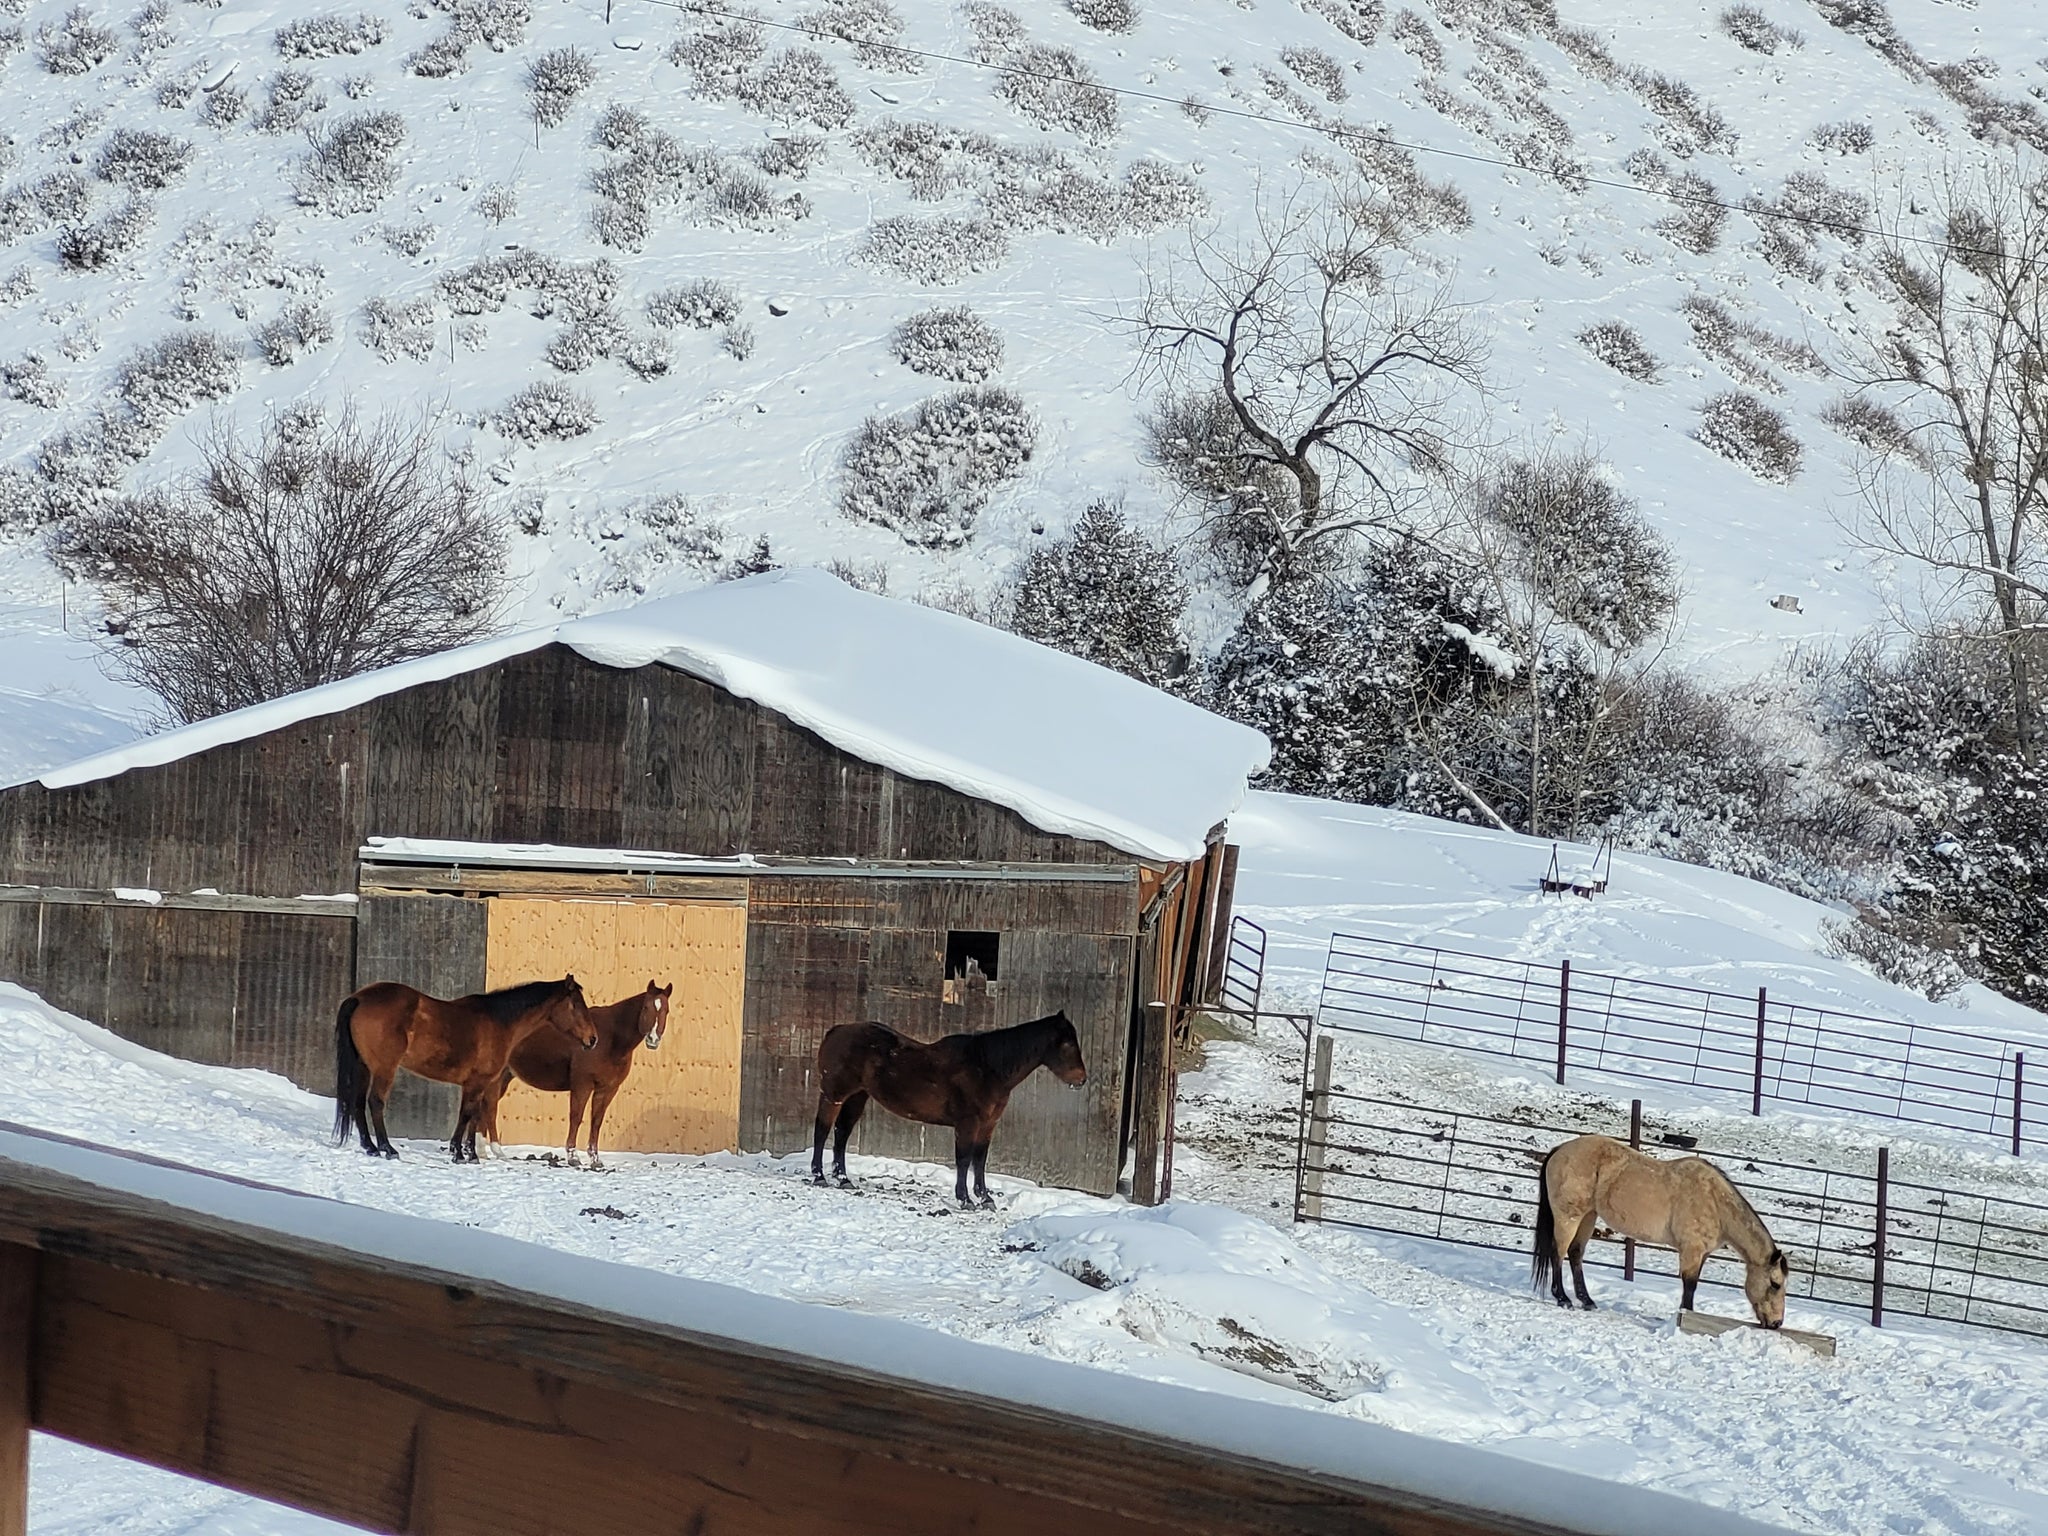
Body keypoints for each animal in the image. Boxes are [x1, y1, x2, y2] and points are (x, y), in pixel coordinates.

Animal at [332, 975, 596, 1163]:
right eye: (575, 1005)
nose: (593, 1039)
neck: (500, 1022)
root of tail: (360, 997)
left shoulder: (480, 1085)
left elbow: (475, 1115)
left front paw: (471, 1154)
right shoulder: (476, 1083)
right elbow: (467, 1115)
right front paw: (459, 1153)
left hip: (364, 1066)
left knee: (357, 1103)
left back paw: (370, 1147)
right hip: (384, 1069)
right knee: (375, 1102)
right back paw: (388, 1149)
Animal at [477, 981, 672, 1168]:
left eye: (666, 1010)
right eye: (646, 1007)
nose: (653, 1039)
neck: (610, 1038)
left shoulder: (607, 1089)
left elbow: (596, 1122)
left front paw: (595, 1160)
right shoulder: (582, 1085)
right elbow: (576, 1117)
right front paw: (573, 1157)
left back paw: (481, 1152)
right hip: (495, 1079)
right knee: (490, 1108)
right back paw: (496, 1151)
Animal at [810, 1011, 1087, 1209]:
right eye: (1066, 1045)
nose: (1082, 1079)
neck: (987, 1068)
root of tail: (837, 1030)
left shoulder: (988, 1124)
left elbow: (980, 1159)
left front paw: (985, 1198)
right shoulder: (968, 1123)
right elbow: (964, 1159)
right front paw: (965, 1199)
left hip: (857, 1096)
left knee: (842, 1133)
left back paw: (843, 1179)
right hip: (834, 1095)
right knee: (822, 1130)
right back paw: (819, 1175)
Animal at [1530, 1133, 1790, 1328]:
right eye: (1775, 1283)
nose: (1776, 1323)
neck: (1715, 1202)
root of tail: (1560, 1149)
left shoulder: (1702, 1253)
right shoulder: (1691, 1250)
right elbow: (1689, 1285)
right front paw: (1685, 1316)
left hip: (1588, 1216)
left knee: (1575, 1254)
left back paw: (1587, 1301)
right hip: (1568, 1217)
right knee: (1558, 1252)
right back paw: (1562, 1298)